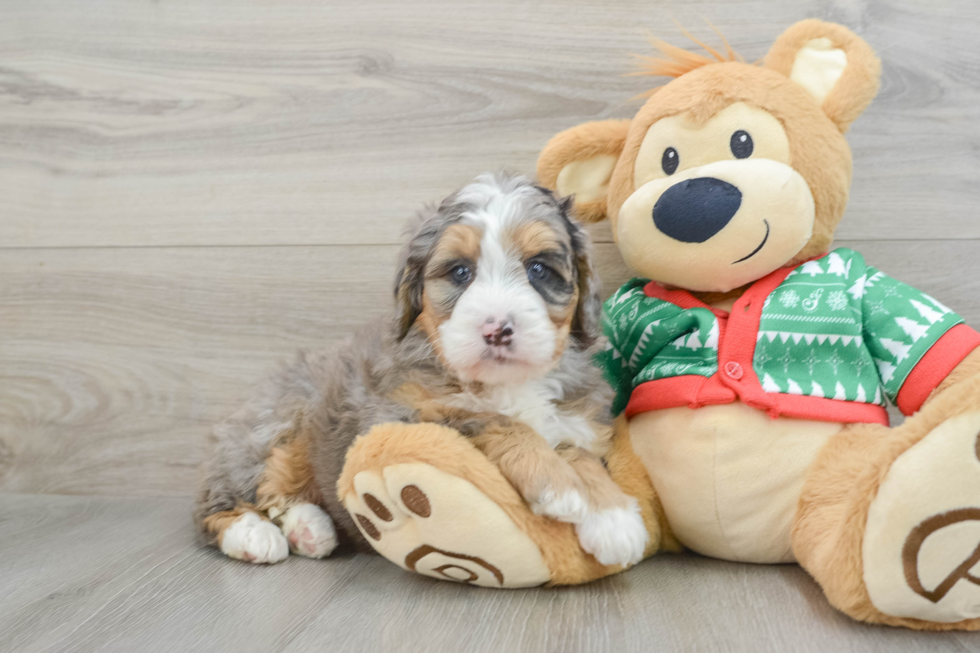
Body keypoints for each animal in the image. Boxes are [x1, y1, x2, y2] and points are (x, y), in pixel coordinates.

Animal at [194, 172, 648, 564]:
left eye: (538, 269)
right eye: (461, 272)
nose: (497, 330)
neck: (505, 384)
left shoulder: (578, 421)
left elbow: (580, 454)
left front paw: (613, 517)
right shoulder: (402, 415)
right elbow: (497, 422)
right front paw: (559, 485)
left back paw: (308, 529)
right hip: (276, 426)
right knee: (227, 497)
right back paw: (254, 533)